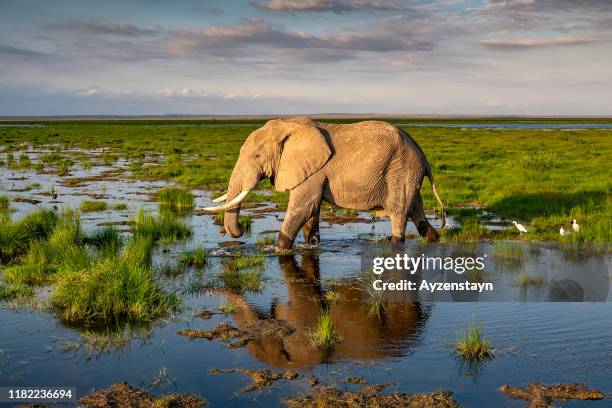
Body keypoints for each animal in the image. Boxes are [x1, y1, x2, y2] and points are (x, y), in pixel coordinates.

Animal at [206, 115, 444, 249]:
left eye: (256, 156)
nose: (240, 231)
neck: (287, 125)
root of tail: (423, 156)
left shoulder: (313, 171)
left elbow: (303, 207)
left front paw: (278, 249)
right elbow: (312, 211)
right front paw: (311, 245)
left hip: (401, 170)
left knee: (398, 210)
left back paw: (394, 243)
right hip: (407, 173)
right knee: (416, 209)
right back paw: (434, 239)